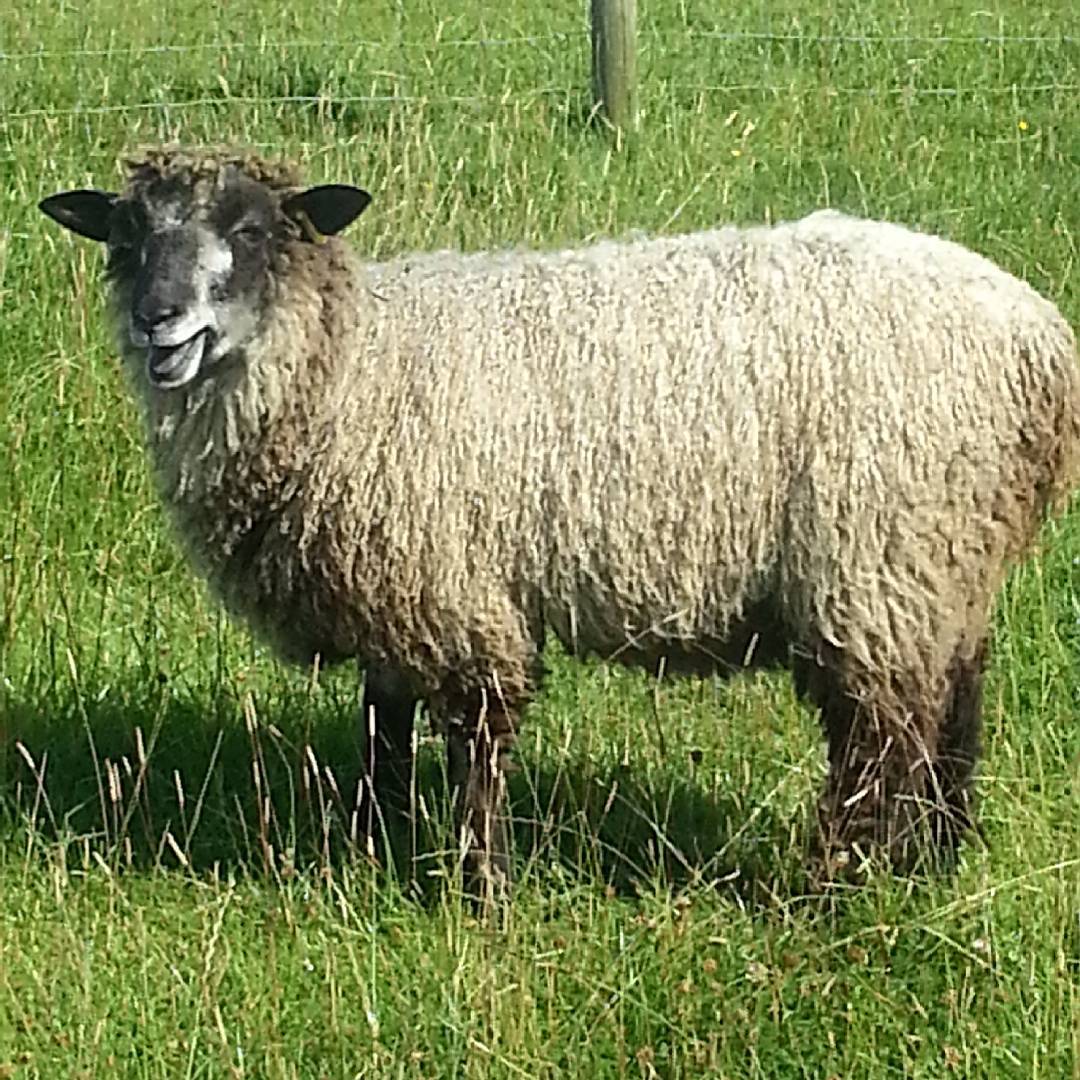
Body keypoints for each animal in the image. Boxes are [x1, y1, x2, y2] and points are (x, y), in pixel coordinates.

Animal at [39, 147, 1080, 896]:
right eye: (124, 236)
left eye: (254, 229)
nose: (158, 320)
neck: (353, 365)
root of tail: (1037, 341)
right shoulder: (395, 582)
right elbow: (382, 727)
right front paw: (374, 849)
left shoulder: (454, 584)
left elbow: (477, 737)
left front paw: (476, 888)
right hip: (944, 561)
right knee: (955, 704)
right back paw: (937, 864)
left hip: (875, 553)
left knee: (880, 737)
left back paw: (841, 885)